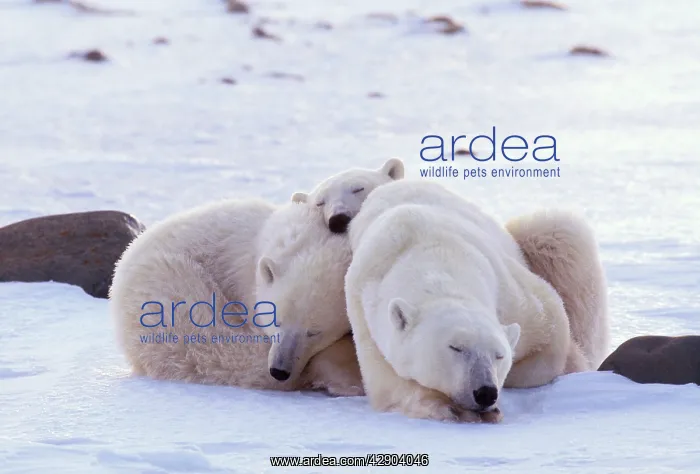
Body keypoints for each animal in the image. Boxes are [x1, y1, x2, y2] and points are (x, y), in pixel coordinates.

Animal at [345, 180, 579, 422]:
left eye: (499, 355)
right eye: (456, 348)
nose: (486, 392)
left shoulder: (507, 289)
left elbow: (552, 326)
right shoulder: (365, 313)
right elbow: (388, 384)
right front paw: (448, 407)